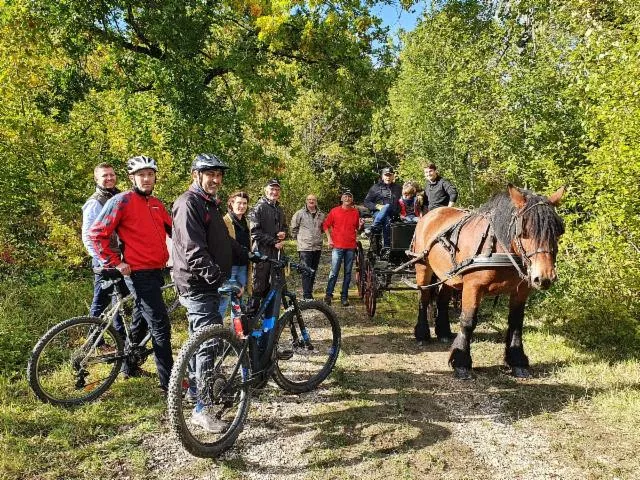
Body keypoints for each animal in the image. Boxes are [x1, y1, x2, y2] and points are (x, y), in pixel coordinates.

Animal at [412, 184, 564, 378]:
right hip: (423, 267)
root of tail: (431, 214)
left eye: (558, 231)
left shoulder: (521, 290)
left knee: (442, 300)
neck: (497, 247)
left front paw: (517, 361)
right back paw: (422, 334)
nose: (544, 277)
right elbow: (468, 321)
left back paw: (444, 332)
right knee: (423, 298)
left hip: (448, 276)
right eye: (524, 231)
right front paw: (461, 362)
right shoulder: (473, 287)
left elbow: (516, 323)